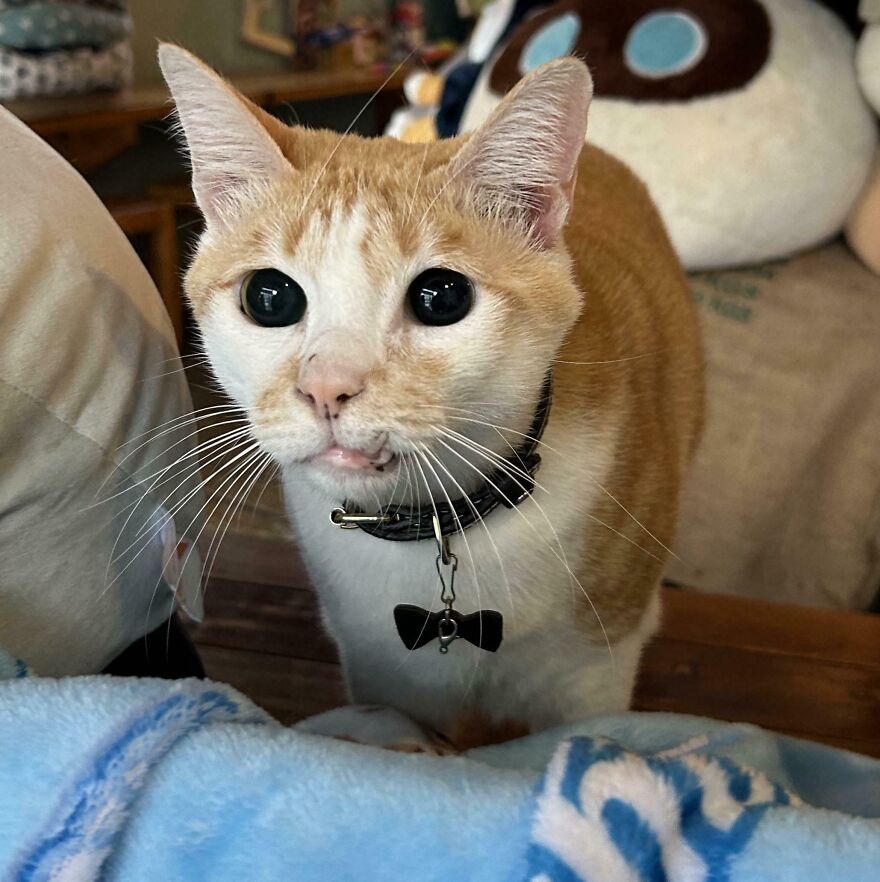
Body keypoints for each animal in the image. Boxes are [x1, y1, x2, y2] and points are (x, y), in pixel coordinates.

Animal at [158, 44, 704, 748]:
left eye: (441, 297)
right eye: (269, 298)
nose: (327, 387)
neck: (435, 525)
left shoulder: (589, 675)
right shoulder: (380, 668)